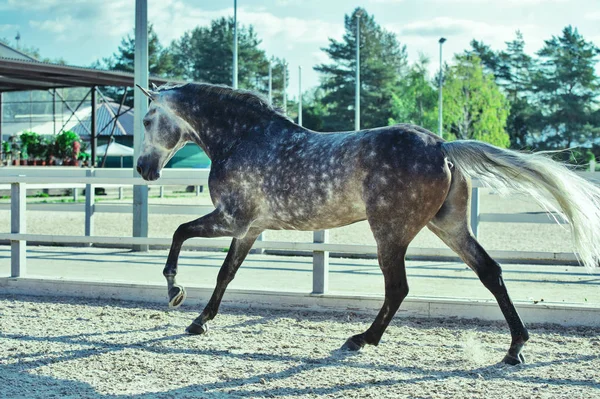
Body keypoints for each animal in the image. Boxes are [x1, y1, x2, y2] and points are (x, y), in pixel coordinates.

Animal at [136, 83, 600, 366]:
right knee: (491, 272)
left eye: (145, 119)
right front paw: (199, 321)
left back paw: (361, 339)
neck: (243, 137)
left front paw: (175, 293)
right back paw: (515, 348)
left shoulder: (231, 219)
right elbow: (225, 274)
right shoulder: (247, 229)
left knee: (398, 288)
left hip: (390, 233)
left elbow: (179, 234)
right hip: (448, 226)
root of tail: (442, 145)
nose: (143, 169)